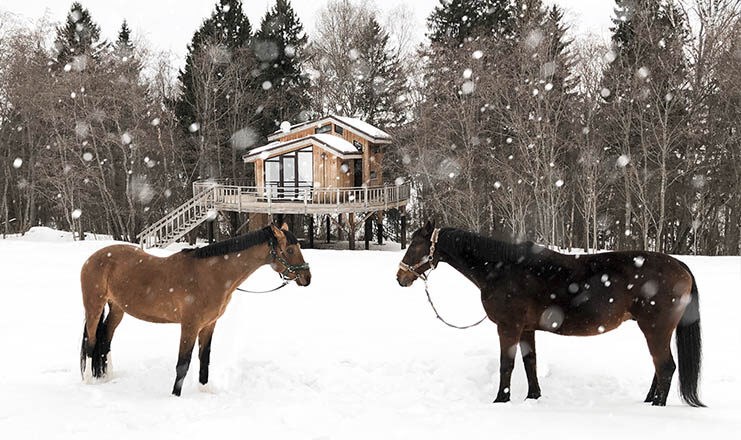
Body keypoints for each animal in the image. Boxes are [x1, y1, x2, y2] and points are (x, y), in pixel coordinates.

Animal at [79, 223, 310, 396]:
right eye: (290, 250)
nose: (307, 277)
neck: (212, 274)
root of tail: (92, 258)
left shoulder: (208, 325)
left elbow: (204, 358)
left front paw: (205, 391)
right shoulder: (190, 325)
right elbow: (183, 362)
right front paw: (175, 396)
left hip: (118, 309)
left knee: (106, 339)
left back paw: (108, 377)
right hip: (94, 307)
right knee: (92, 341)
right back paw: (89, 382)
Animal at [396, 222, 704, 408]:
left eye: (415, 245)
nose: (400, 277)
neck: (502, 268)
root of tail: (680, 266)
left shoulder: (508, 327)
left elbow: (506, 364)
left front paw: (501, 400)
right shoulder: (526, 328)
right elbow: (530, 362)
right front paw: (533, 397)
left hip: (655, 328)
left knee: (665, 367)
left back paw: (657, 407)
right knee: (659, 367)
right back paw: (648, 400)